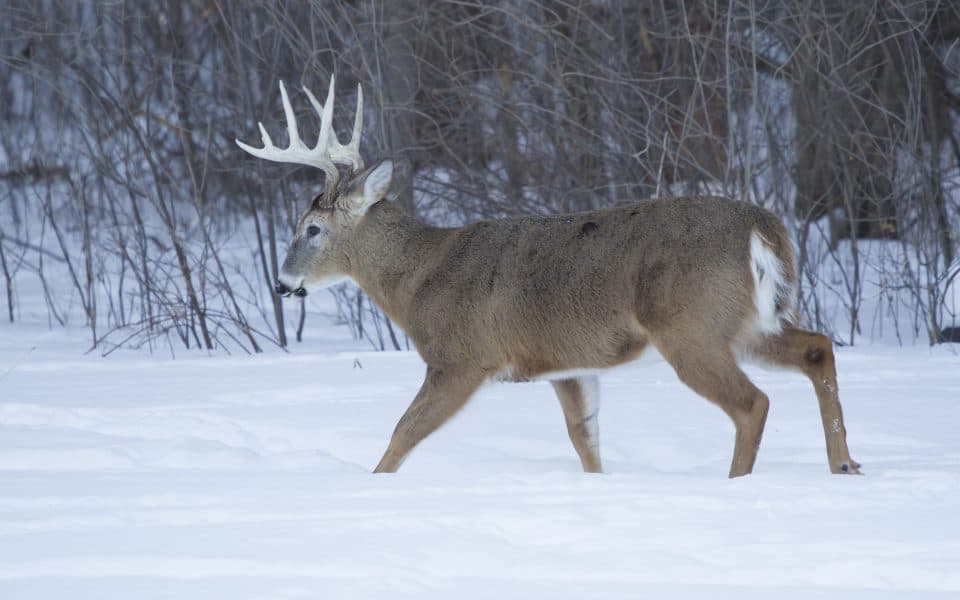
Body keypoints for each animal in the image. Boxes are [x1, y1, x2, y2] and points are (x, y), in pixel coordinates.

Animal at [238, 76, 864, 478]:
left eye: (311, 227)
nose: (281, 282)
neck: (419, 278)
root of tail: (763, 228)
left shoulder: (460, 356)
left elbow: (402, 433)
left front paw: (372, 486)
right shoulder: (566, 364)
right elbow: (585, 440)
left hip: (692, 325)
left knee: (752, 402)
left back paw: (741, 485)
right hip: (751, 318)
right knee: (817, 348)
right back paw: (844, 463)